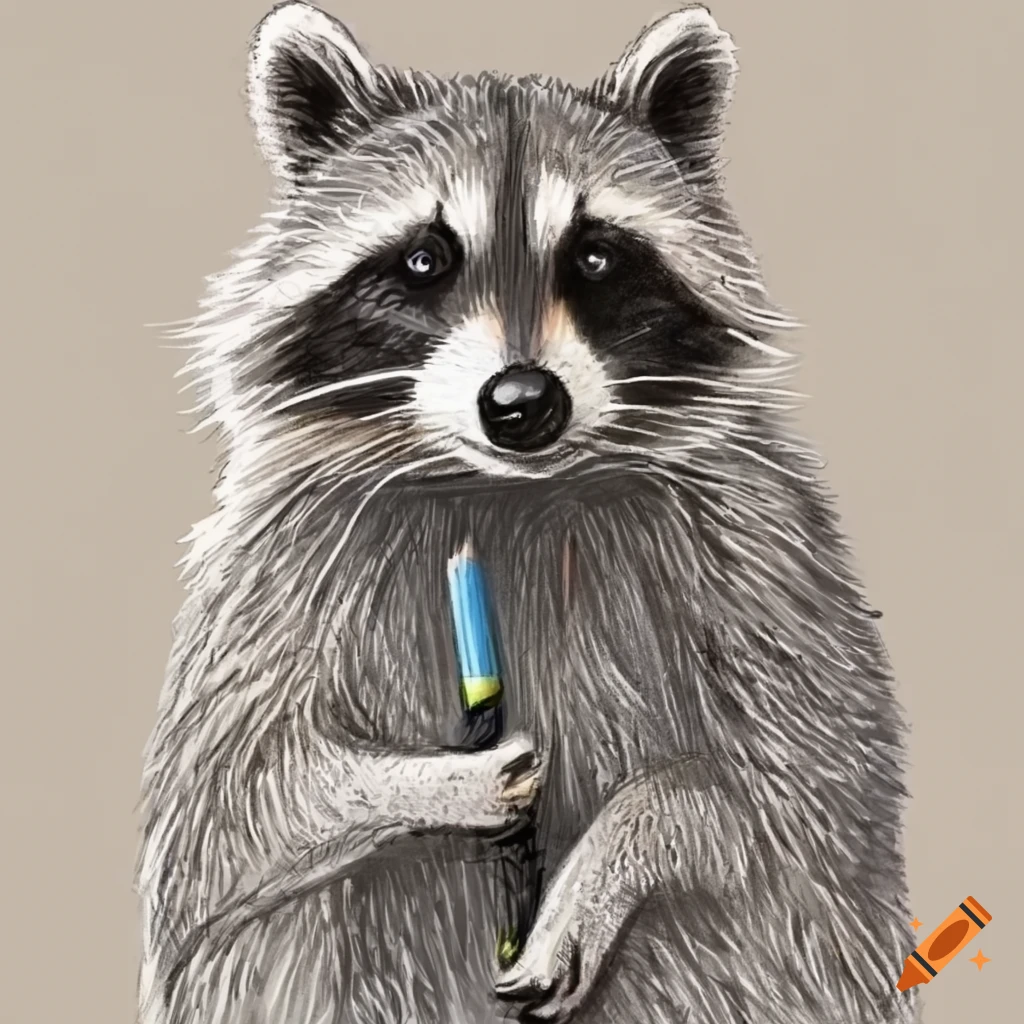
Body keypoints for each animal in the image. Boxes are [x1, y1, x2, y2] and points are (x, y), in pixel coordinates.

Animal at [137, 3, 919, 1023]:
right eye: (424, 260)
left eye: (595, 255)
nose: (521, 402)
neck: (509, 488)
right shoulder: (275, 572)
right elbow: (237, 807)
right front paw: (442, 781)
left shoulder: (763, 553)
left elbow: (796, 791)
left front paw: (613, 854)